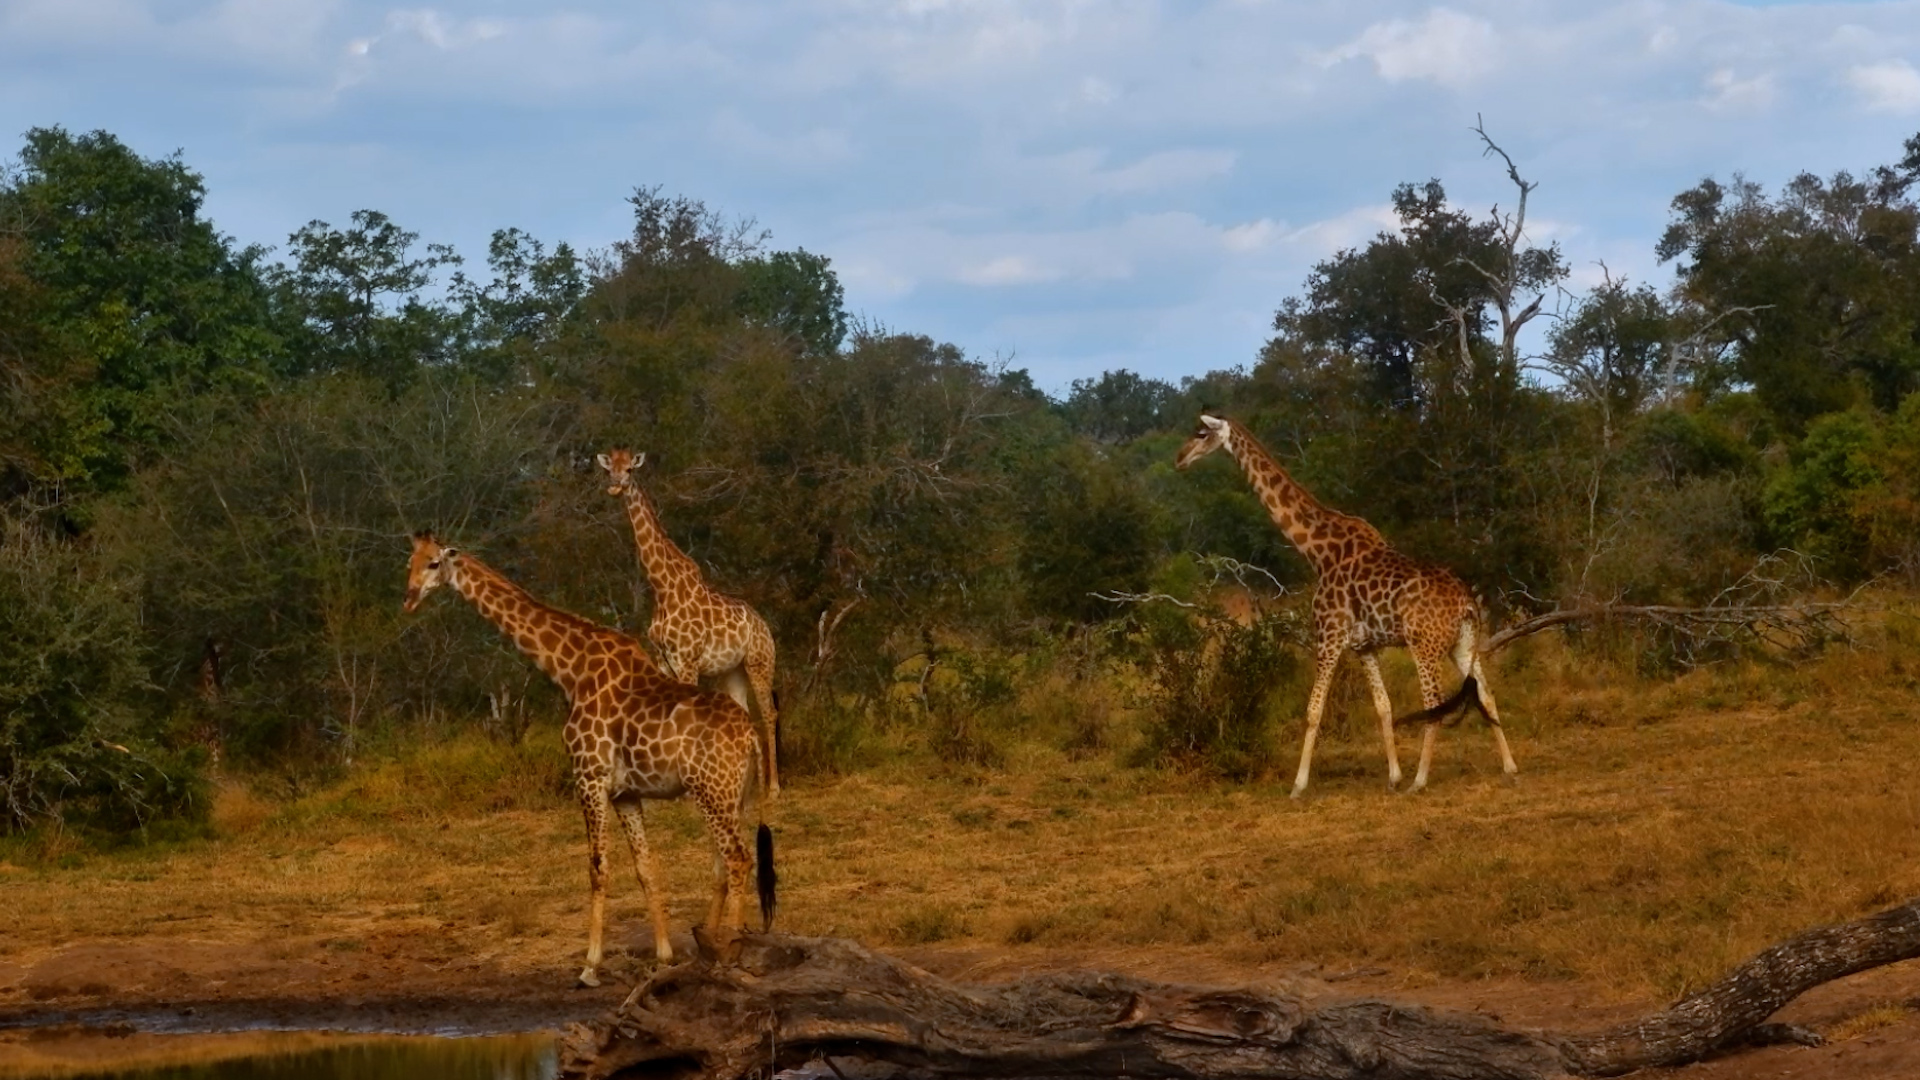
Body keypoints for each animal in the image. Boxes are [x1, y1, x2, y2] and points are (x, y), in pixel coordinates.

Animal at [402, 532, 775, 986]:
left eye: (434, 563)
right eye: (409, 562)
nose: (410, 597)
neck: (570, 670)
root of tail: (750, 737)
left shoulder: (588, 777)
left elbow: (597, 867)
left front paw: (590, 966)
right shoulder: (624, 793)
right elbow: (645, 867)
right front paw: (664, 956)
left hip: (711, 792)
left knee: (737, 857)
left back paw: (730, 950)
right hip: (733, 794)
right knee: (727, 860)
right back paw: (712, 943)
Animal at [596, 449, 781, 796]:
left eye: (629, 470)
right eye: (608, 469)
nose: (614, 486)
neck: (662, 588)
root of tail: (764, 626)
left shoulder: (688, 660)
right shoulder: (664, 660)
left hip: (760, 662)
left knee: (769, 712)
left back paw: (774, 788)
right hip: (731, 671)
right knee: (745, 713)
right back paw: (753, 785)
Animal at [1174, 414, 1519, 796]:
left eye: (1201, 433)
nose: (1179, 459)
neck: (1317, 550)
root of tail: (1466, 603)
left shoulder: (1329, 635)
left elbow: (1313, 710)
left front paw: (1298, 785)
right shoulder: (1363, 645)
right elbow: (1383, 706)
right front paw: (1393, 777)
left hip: (1424, 646)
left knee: (1435, 703)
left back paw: (1421, 780)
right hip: (1462, 643)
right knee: (1485, 693)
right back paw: (1509, 767)